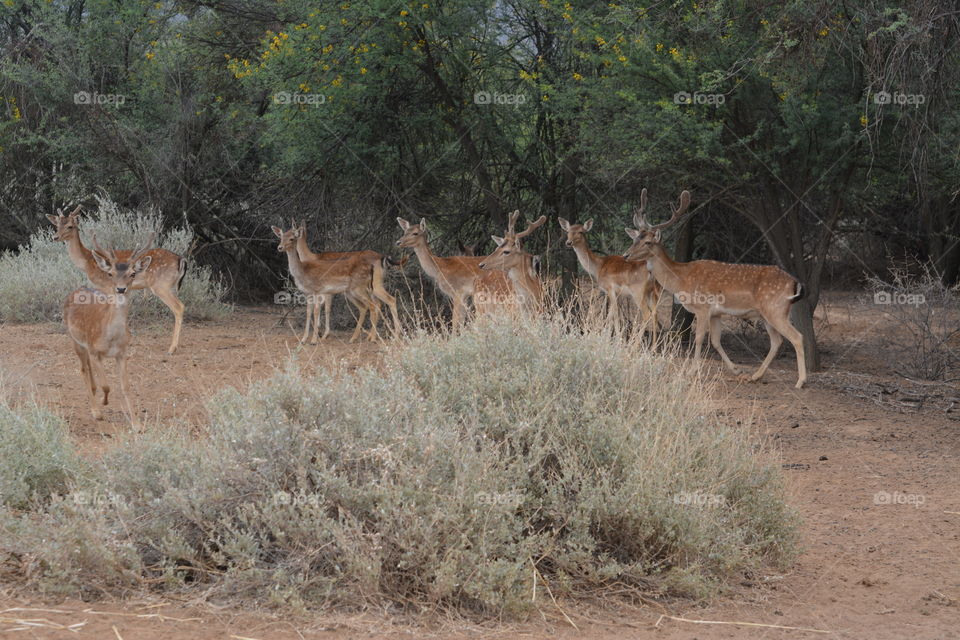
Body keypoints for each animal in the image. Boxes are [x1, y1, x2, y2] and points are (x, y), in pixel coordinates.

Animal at [47, 206, 188, 352]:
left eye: (70, 226)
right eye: (57, 225)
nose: (55, 237)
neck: (87, 263)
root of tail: (181, 259)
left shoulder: (107, 286)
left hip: (161, 285)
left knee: (179, 307)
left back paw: (172, 348)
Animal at [63, 232, 156, 428]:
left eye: (132, 273)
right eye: (110, 273)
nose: (121, 289)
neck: (111, 339)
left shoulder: (122, 353)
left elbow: (125, 386)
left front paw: (136, 424)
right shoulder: (94, 350)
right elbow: (106, 385)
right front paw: (103, 404)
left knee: (88, 369)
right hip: (75, 340)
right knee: (83, 369)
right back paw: (95, 411)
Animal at [560, 212, 664, 340]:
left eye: (581, 231)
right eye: (568, 231)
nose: (568, 242)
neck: (598, 267)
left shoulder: (610, 289)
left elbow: (614, 315)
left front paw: (617, 339)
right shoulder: (617, 293)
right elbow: (609, 315)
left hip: (638, 292)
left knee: (647, 314)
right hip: (655, 292)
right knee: (655, 314)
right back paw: (653, 345)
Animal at [620, 190, 808, 388]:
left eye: (648, 242)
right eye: (635, 239)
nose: (625, 255)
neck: (681, 279)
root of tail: (795, 283)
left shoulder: (702, 308)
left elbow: (699, 338)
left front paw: (691, 372)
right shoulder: (716, 313)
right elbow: (715, 341)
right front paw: (736, 370)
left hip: (776, 309)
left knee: (797, 337)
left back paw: (800, 381)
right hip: (767, 314)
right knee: (776, 341)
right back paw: (756, 375)